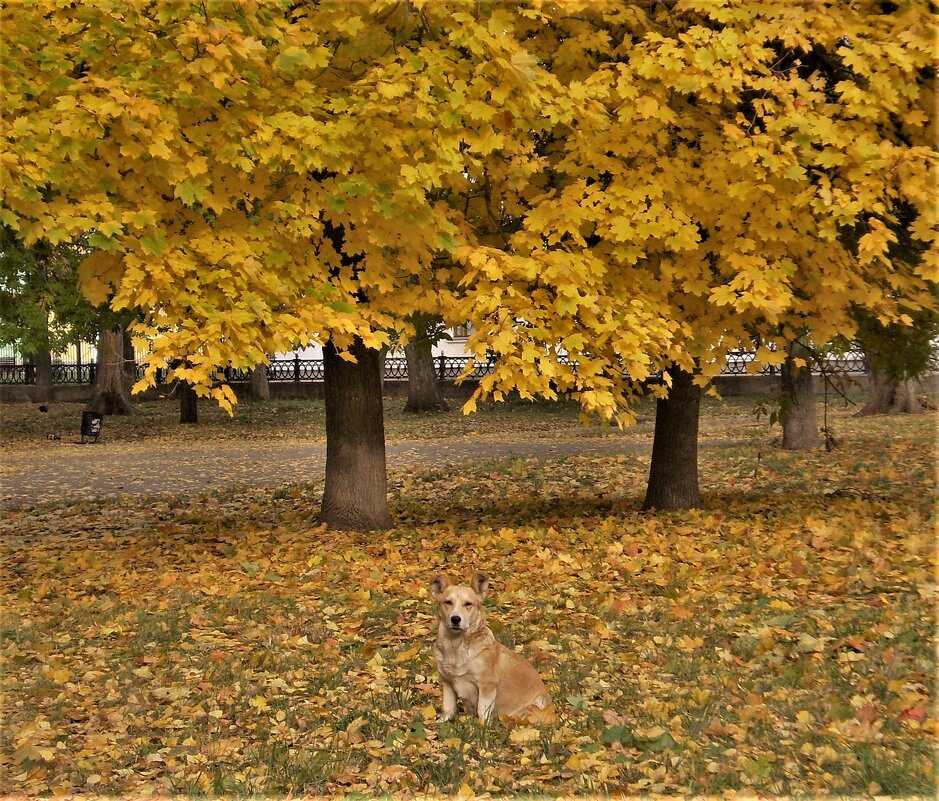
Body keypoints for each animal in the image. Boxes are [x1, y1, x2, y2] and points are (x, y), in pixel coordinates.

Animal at [432, 572, 556, 720]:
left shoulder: (487, 685)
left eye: (468, 604)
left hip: (538, 702)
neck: (455, 645)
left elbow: (482, 711)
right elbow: (448, 708)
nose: (455, 619)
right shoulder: (447, 683)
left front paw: (481, 724)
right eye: (448, 602)